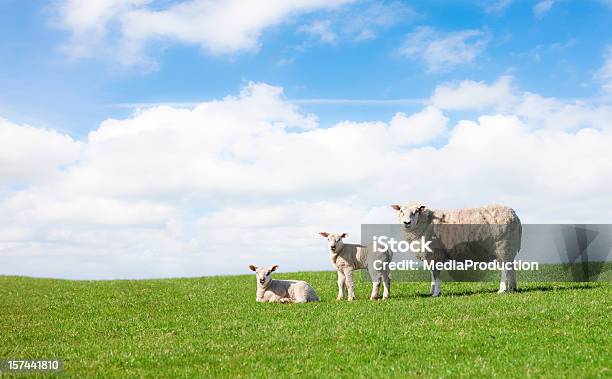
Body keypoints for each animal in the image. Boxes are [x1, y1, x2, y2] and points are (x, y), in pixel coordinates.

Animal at [392, 203, 520, 298]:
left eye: (416, 211)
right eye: (401, 211)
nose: (407, 222)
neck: (426, 223)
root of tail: (514, 215)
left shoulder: (435, 254)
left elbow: (436, 274)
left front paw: (436, 293)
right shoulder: (431, 255)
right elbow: (432, 274)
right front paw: (431, 291)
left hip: (503, 246)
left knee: (505, 269)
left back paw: (502, 289)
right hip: (509, 248)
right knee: (511, 268)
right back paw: (512, 288)